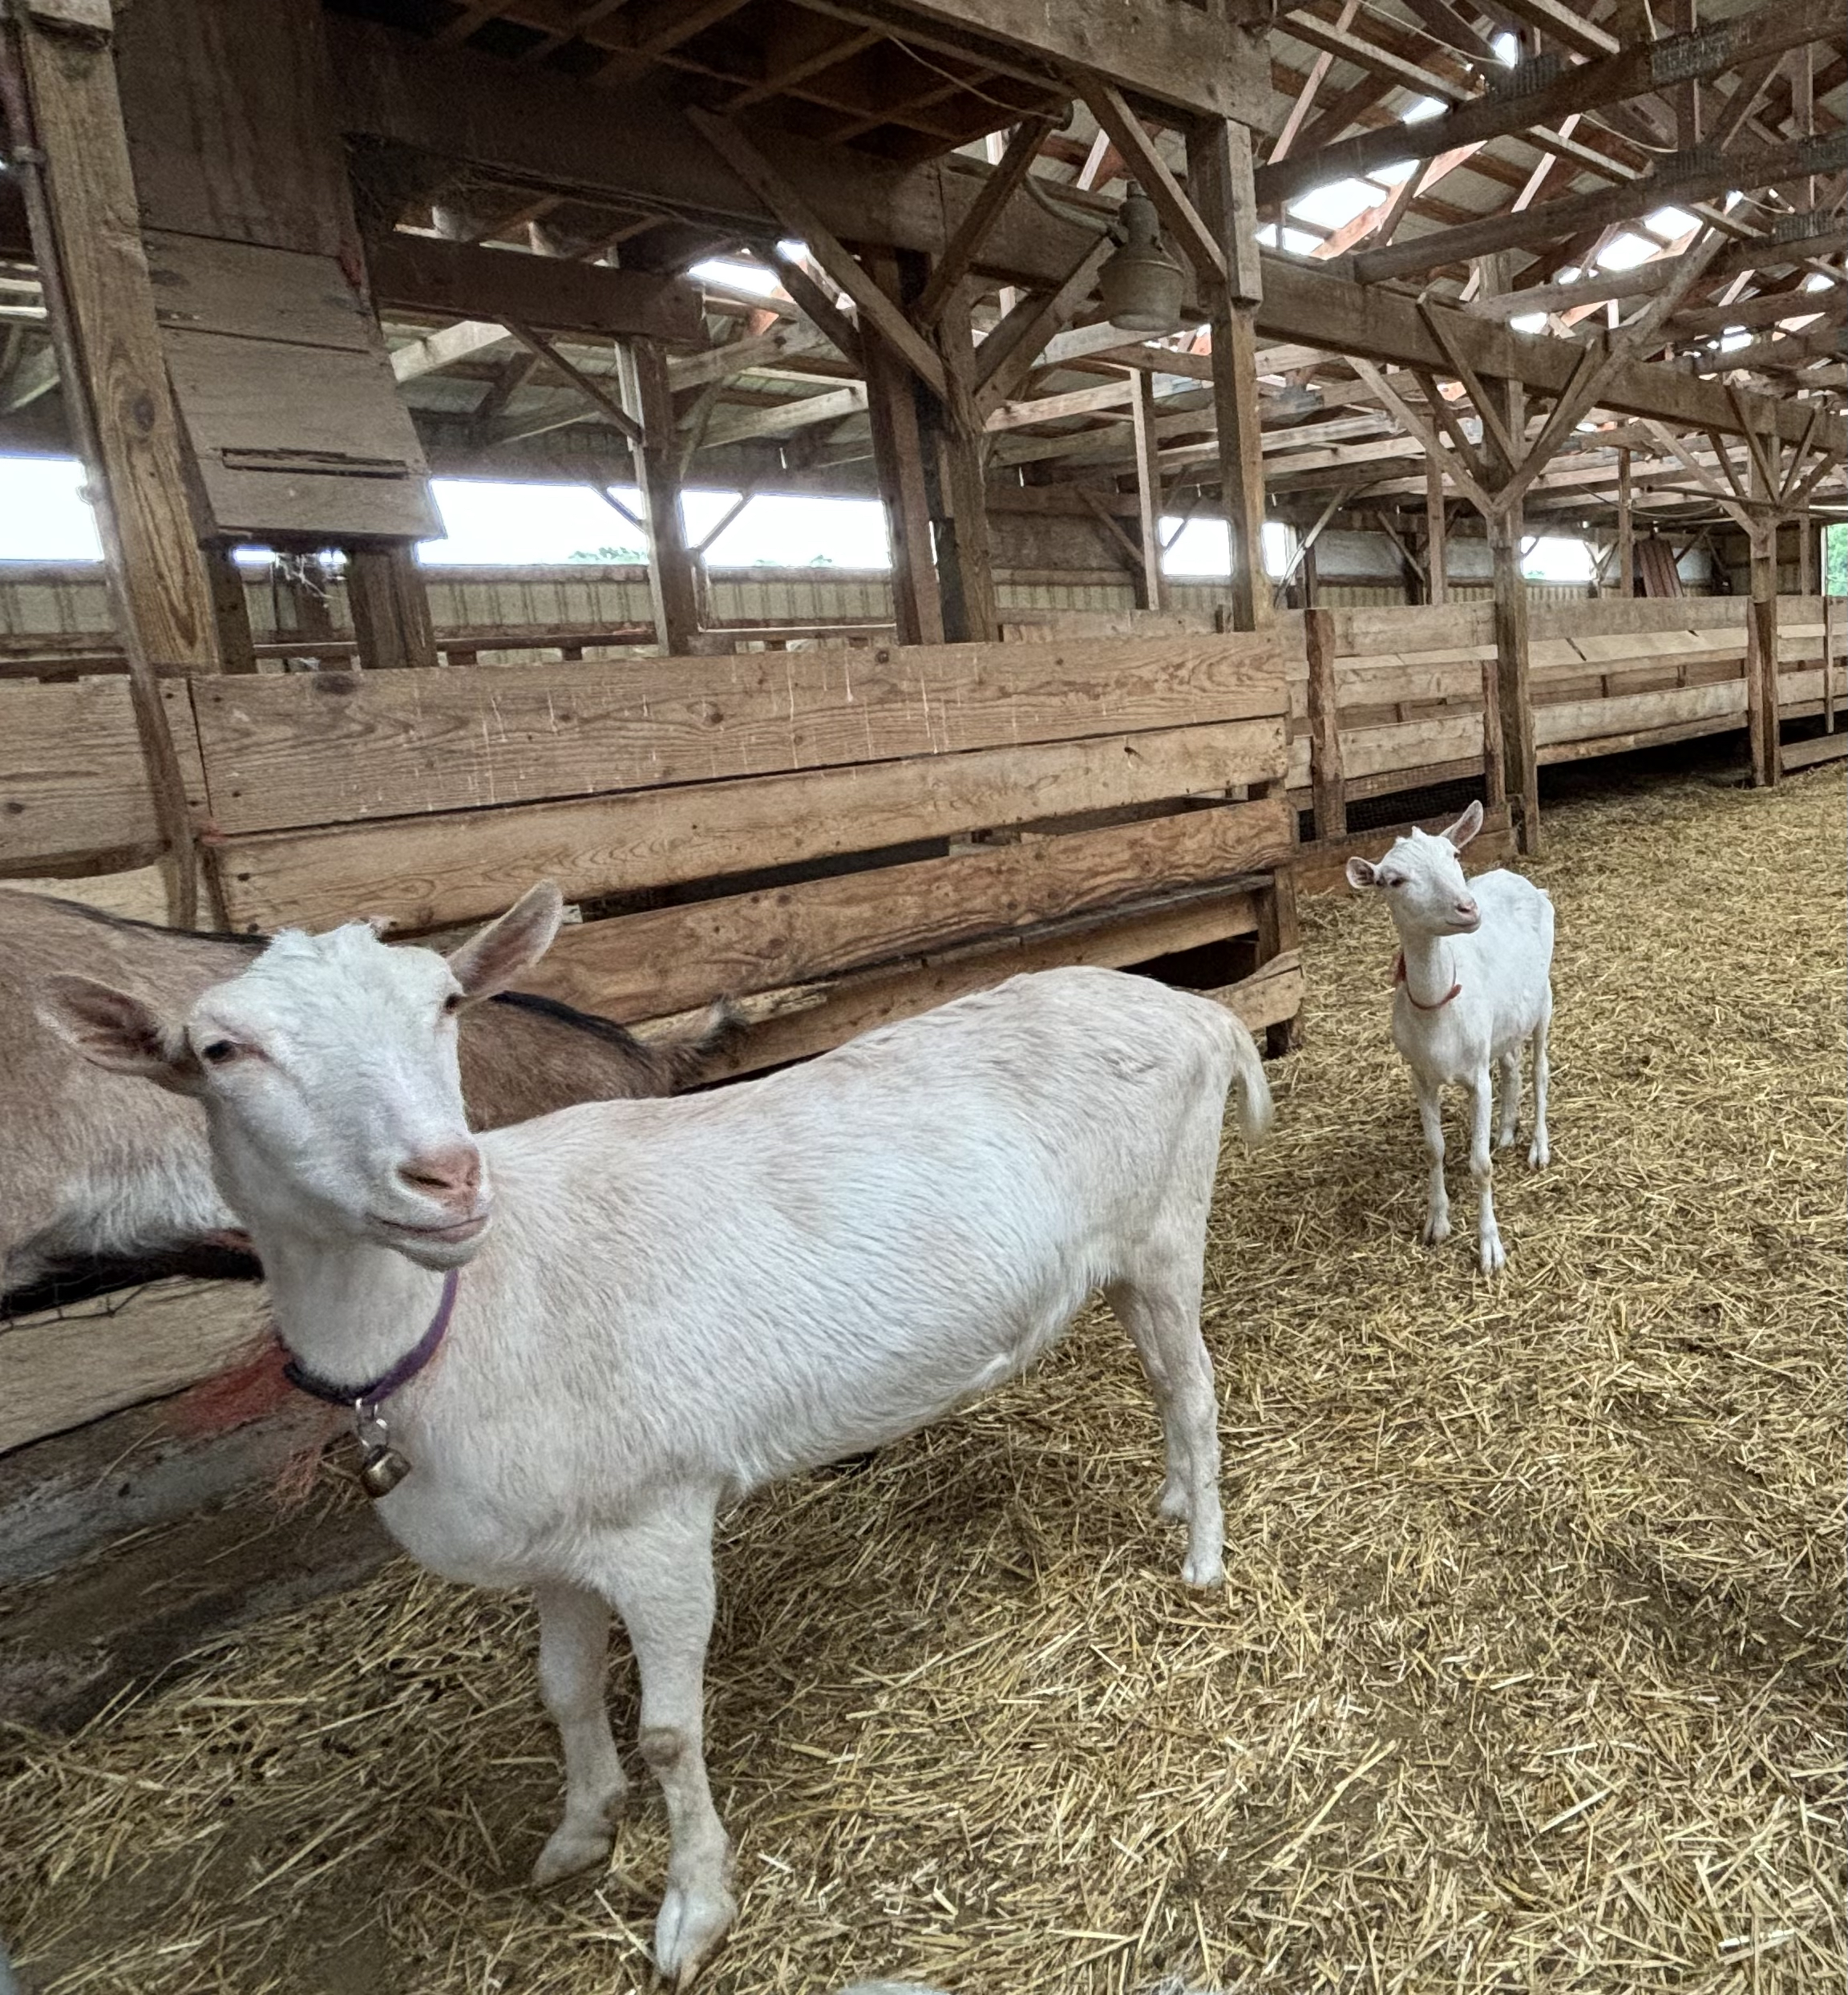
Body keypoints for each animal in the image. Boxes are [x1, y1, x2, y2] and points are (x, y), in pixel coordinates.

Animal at [1345, 802, 1553, 1274]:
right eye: (1394, 880)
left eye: (1455, 855)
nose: (1467, 908)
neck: (1439, 1007)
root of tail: (1516, 877)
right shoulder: (1420, 1075)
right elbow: (1433, 1149)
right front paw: (1436, 1225)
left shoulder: (1477, 1075)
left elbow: (1481, 1165)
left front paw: (1490, 1248)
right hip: (1505, 1020)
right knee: (1512, 1065)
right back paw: (1506, 1131)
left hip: (1545, 1001)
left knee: (1539, 1070)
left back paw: (1538, 1148)